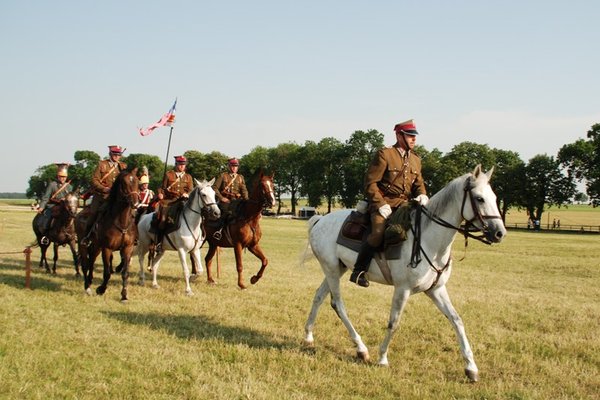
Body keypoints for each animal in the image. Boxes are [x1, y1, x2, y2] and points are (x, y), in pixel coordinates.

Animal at [75, 167, 139, 302]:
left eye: (137, 182)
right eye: (124, 183)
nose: (135, 203)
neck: (121, 221)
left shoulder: (128, 248)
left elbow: (125, 272)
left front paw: (124, 295)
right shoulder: (107, 248)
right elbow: (107, 272)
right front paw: (101, 289)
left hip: (96, 246)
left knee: (91, 261)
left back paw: (90, 280)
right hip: (83, 245)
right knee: (85, 264)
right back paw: (87, 287)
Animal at [304, 165, 506, 382]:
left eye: (494, 197)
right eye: (479, 198)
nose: (500, 233)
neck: (430, 241)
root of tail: (320, 220)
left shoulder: (436, 290)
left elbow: (457, 320)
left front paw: (471, 367)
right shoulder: (403, 289)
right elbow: (394, 322)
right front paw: (382, 358)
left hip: (337, 269)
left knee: (319, 297)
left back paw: (308, 337)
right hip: (332, 270)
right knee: (338, 304)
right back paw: (361, 348)